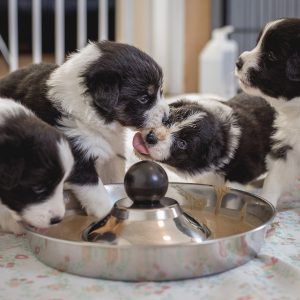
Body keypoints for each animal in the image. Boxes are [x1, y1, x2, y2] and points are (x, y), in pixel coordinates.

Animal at [236, 18, 300, 206]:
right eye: (258, 43)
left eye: (271, 55)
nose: (238, 62)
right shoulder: (286, 147)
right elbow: (274, 179)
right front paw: (265, 203)